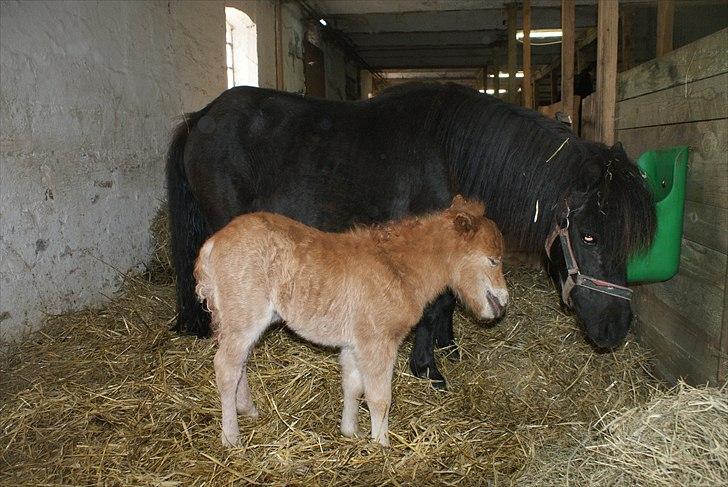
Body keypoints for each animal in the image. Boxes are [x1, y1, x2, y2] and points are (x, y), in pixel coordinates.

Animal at [168, 83, 656, 388]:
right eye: (589, 237)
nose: (616, 328)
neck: (452, 152)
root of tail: (200, 117)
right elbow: (433, 302)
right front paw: (428, 368)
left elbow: (448, 299)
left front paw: (446, 345)